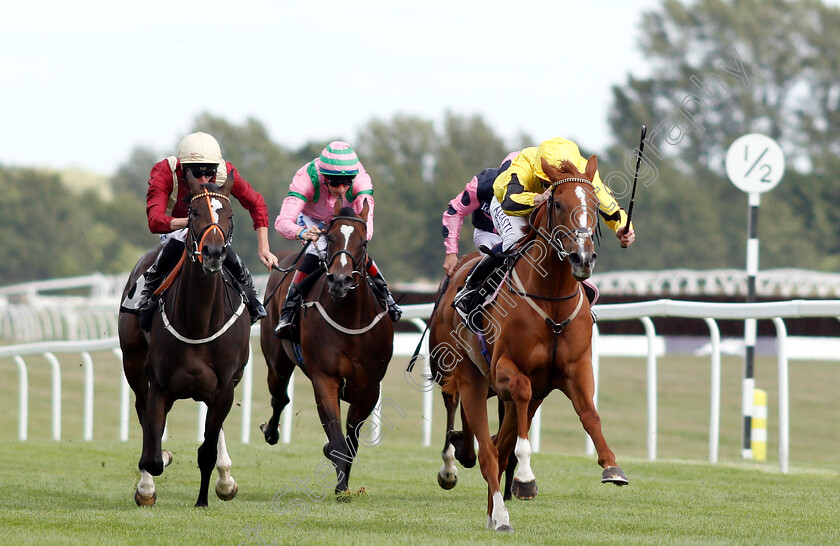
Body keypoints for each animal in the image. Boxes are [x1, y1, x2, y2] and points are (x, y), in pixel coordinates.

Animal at [117, 171, 249, 506]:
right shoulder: (159, 384)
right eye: (194, 212)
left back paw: (225, 478)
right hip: (133, 364)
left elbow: (207, 449)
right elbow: (152, 454)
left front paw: (207, 496)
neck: (198, 322)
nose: (214, 253)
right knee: (143, 414)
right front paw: (149, 482)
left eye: (230, 215)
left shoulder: (224, 386)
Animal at [260, 202, 396, 496]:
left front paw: (343, 484)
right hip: (276, 362)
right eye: (330, 238)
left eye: (363, 242)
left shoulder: (369, 388)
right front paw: (341, 486)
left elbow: (350, 442)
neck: (349, 320)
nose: (340, 281)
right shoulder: (325, 380)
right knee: (279, 397)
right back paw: (271, 431)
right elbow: (337, 441)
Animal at [430, 155, 628, 528]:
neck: (552, 301)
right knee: (482, 441)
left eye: (595, 205)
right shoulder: (506, 370)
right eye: (558, 203)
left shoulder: (574, 369)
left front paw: (612, 466)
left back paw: (493, 508)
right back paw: (486, 497)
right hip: (466, 376)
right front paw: (524, 477)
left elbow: (589, 413)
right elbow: (517, 401)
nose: (583, 258)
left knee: (496, 446)